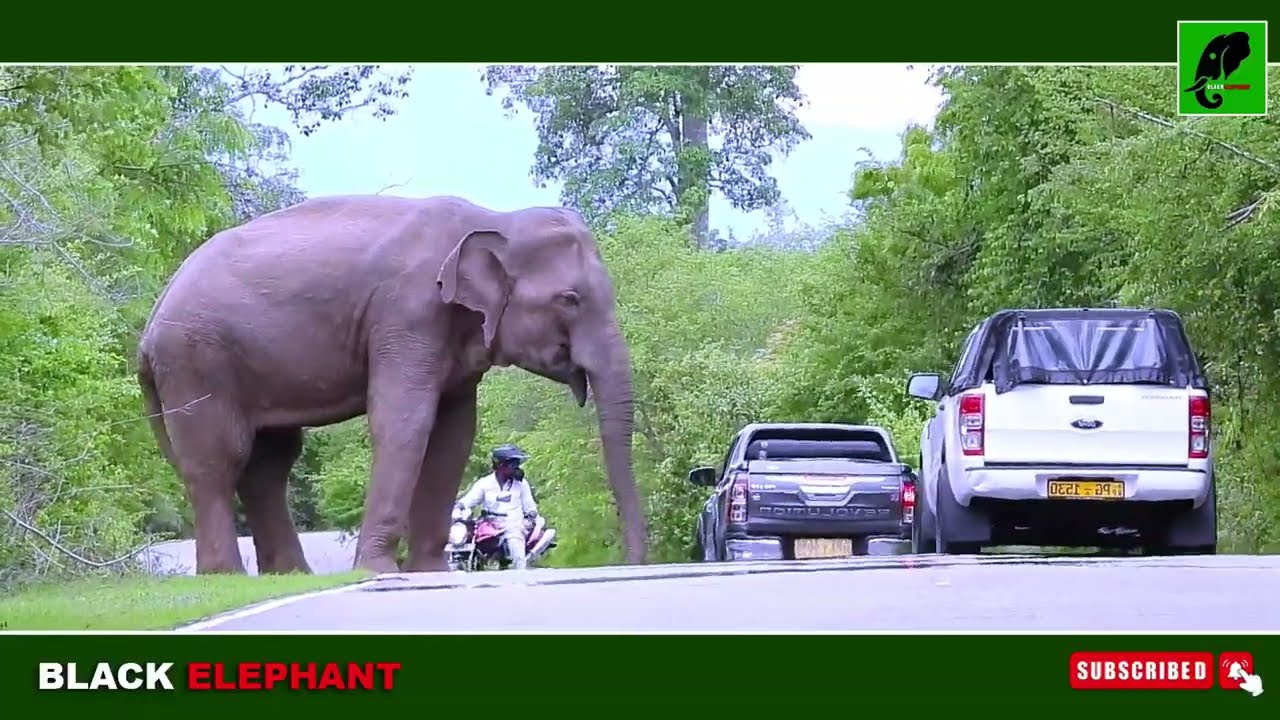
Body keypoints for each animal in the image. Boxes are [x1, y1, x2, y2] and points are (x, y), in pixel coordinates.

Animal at [135, 194, 649, 575]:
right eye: (570, 299)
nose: (632, 563)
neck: (494, 218)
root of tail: (150, 323)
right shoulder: (408, 313)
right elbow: (405, 421)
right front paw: (378, 571)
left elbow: (454, 437)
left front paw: (431, 573)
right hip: (196, 361)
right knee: (218, 459)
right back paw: (226, 576)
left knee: (269, 465)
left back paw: (290, 575)